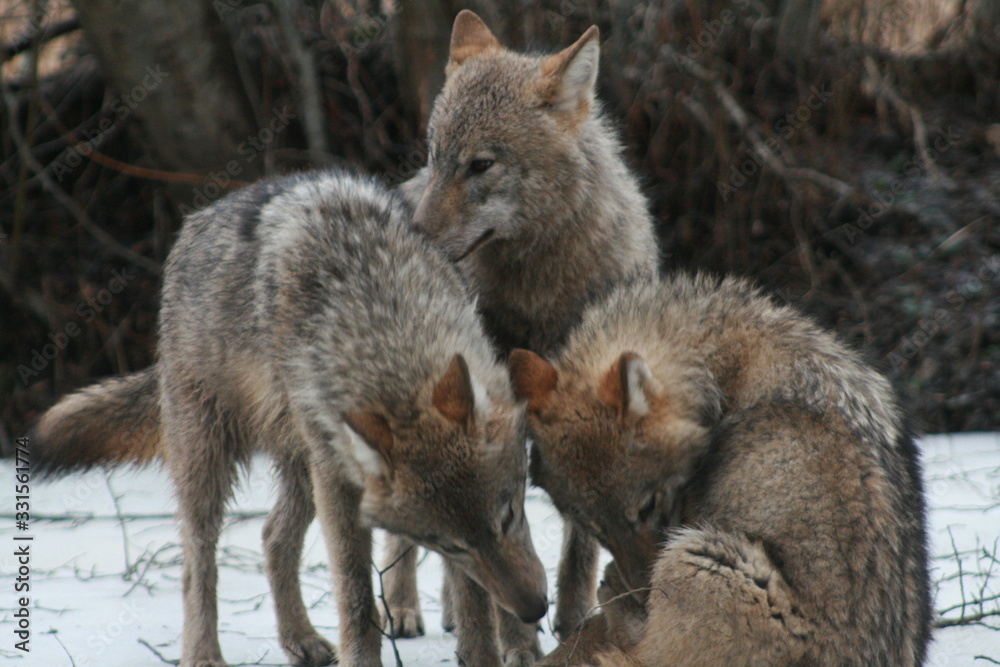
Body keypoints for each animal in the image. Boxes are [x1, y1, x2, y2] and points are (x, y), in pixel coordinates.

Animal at [29, 171, 548, 667]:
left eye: (508, 515)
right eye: (449, 544)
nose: (536, 609)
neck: (384, 324)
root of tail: (195, 224)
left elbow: (474, 605)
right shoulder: (338, 484)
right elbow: (356, 597)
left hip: (301, 468)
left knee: (272, 535)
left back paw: (300, 640)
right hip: (215, 461)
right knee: (197, 563)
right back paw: (204, 655)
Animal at [384, 10, 664, 644]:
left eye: (480, 164)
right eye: (438, 155)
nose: (408, 233)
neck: (540, 289)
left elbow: (578, 541)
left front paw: (573, 616)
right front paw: (515, 641)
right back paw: (407, 610)